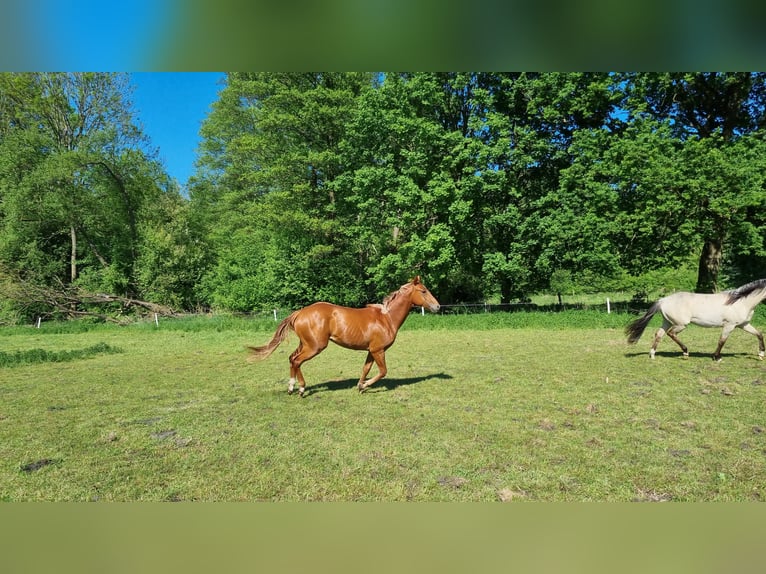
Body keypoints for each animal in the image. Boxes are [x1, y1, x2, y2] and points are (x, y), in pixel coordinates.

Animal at [249, 278, 440, 396]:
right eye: (423, 291)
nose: (437, 307)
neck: (386, 318)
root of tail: (300, 313)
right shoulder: (378, 350)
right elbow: (383, 371)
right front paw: (365, 385)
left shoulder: (371, 351)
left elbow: (366, 369)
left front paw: (360, 386)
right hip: (314, 347)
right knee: (297, 361)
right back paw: (301, 389)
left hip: (305, 344)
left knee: (291, 358)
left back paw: (291, 387)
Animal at [628, 278, 766, 362]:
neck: (740, 302)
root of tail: (663, 300)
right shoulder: (729, 325)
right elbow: (722, 341)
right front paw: (717, 357)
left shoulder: (744, 324)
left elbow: (759, 334)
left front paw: (761, 355)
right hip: (681, 324)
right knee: (671, 333)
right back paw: (685, 352)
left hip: (667, 322)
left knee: (659, 334)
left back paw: (652, 355)